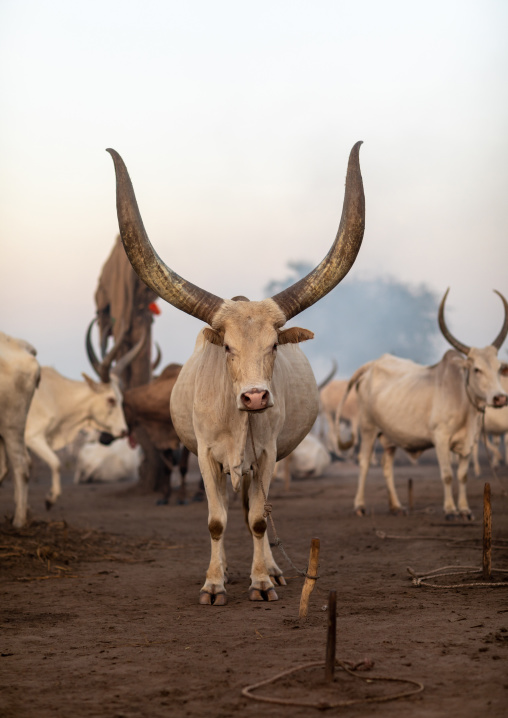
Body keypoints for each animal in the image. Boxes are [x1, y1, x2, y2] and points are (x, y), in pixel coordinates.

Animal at [24, 322, 141, 510]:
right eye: (111, 399)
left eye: (122, 399)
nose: (124, 430)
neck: (56, 396)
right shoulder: (32, 437)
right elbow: (54, 464)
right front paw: (50, 498)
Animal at [107, 141, 365, 604]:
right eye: (227, 347)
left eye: (274, 345)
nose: (256, 397)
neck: (237, 418)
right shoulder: (206, 457)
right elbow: (215, 521)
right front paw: (214, 583)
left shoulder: (265, 457)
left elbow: (258, 519)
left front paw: (262, 580)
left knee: (250, 512)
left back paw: (273, 570)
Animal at [338, 290, 508, 518]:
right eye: (476, 369)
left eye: (498, 369)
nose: (500, 398)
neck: (463, 401)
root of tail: (372, 364)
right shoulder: (440, 438)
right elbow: (447, 474)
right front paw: (450, 510)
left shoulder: (469, 443)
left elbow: (463, 476)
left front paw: (464, 509)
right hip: (368, 428)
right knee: (364, 463)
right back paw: (359, 505)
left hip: (388, 435)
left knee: (386, 465)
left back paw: (396, 506)